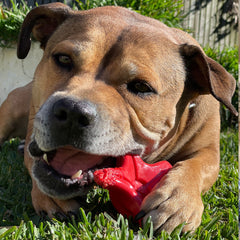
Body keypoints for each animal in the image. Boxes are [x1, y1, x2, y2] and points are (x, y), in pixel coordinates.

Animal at [0, 2, 236, 233]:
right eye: (64, 59)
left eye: (141, 87)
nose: (72, 111)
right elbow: (34, 160)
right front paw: (47, 197)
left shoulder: (209, 151)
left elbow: (197, 166)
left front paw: (177, 202)